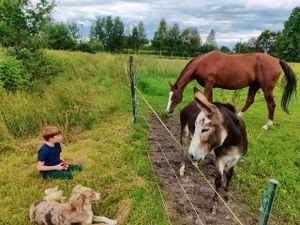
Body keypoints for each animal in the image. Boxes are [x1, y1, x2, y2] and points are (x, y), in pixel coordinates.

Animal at [168, 50, 296, 128]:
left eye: (174, 96)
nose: (168, 110)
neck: (203, 63)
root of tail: (277, 60)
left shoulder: (209, 84)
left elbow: (205, 100)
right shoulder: (211, 86)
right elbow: (210, 101)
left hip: (266, 88)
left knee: (271, 104)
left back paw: (268, 125)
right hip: (254, 85)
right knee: (249, 101)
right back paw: (238, 117)